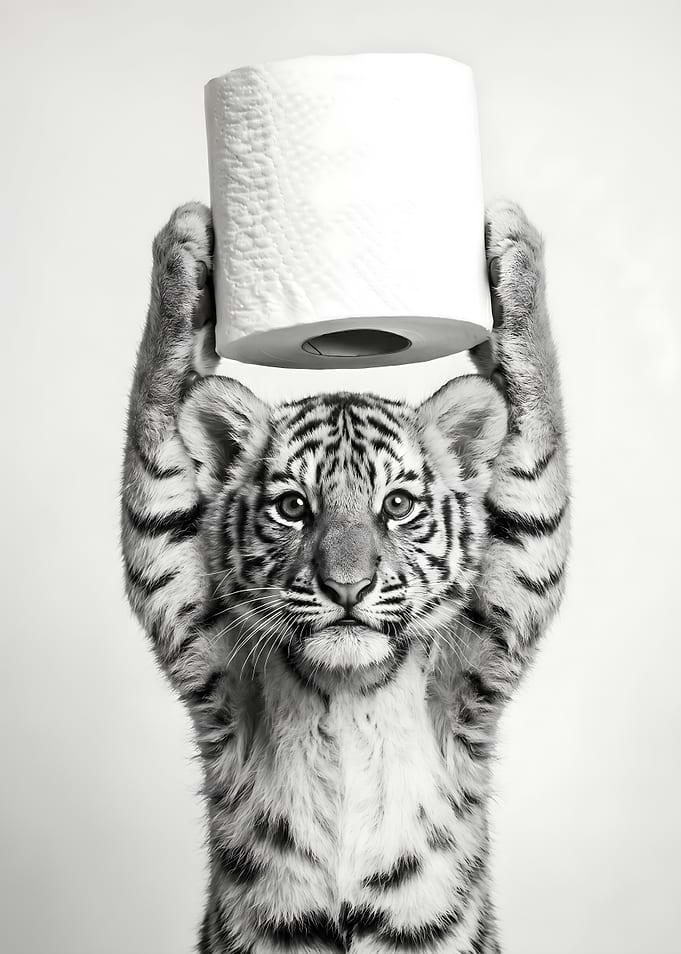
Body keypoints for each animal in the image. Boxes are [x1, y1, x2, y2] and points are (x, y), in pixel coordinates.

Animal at [121, 199, 570, 953]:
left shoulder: (484, 653)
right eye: (293, 507)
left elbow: (537, 447)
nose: (347, 588)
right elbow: (153, 439)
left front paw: (511, 248)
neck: (345, 688)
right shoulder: (194, 632)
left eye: (397, 505)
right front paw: (185, 251)